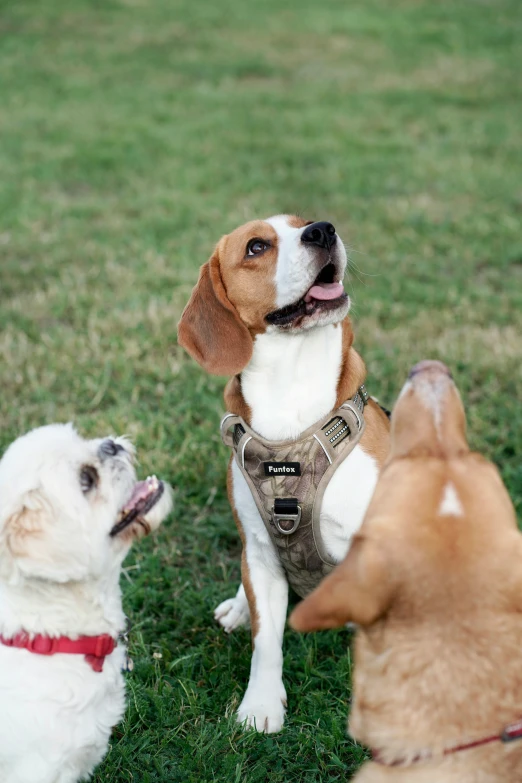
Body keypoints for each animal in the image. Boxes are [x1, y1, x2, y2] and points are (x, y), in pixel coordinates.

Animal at [177, 216, 388, 736]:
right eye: (256, 247)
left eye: (307, 221)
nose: (323, 230)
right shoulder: (261, 552)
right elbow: (265, 643)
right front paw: (260, 706)